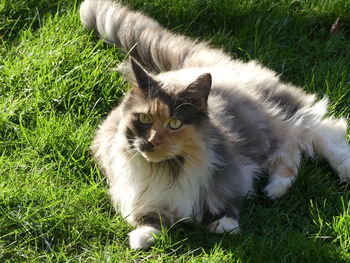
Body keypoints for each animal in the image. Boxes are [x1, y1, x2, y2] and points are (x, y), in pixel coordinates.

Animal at [79, 0, 350, 252]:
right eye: (144, 119)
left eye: (175, 123)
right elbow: (149, 217)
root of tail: (192, 66)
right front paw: (143, 236)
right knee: (291, 152)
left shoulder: (232, 172)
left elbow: (225, 202)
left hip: (282, 114)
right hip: (271, 134)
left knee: (322, 132)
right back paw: (274, 190)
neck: (167, 169)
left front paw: (224, 224)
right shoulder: (133, 190)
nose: (152, 141)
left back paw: (343, 171)